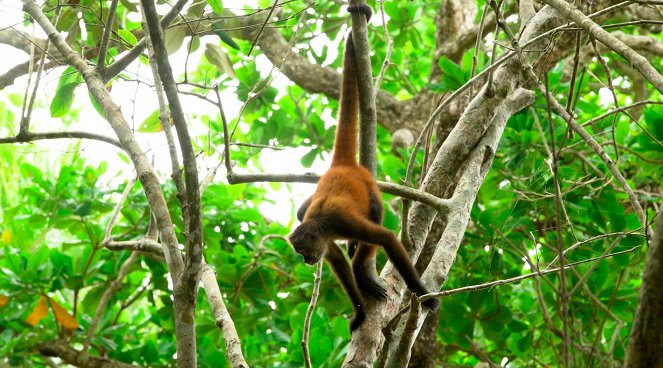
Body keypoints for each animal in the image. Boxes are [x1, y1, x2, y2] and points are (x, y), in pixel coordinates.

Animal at [290, 2, 440, 332]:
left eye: (303, 252)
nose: (306, 261)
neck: (321, 224)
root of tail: (342, 165)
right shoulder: (325, 239)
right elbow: (337, 262)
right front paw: (358, 311)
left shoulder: (340, 221)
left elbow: (385, 238)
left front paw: (422, 295)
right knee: (301, 212)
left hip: (369, 186)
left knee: (376, 213)